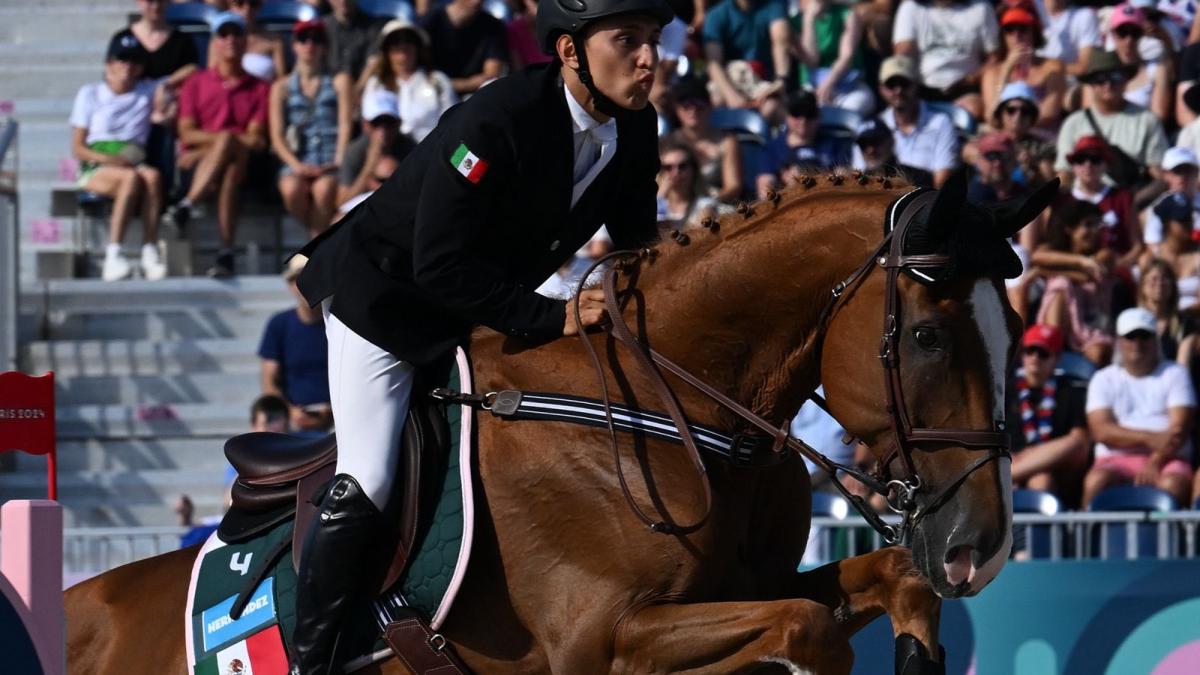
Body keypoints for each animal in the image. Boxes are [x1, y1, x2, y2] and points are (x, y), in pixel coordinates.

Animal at [68, 172, 1051, 672]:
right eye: (926, 336)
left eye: (1015, 333)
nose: (985, 546)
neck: (680, 411)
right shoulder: (601, 636)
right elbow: (807, 628)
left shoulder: (752, 585)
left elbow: (892, 581)